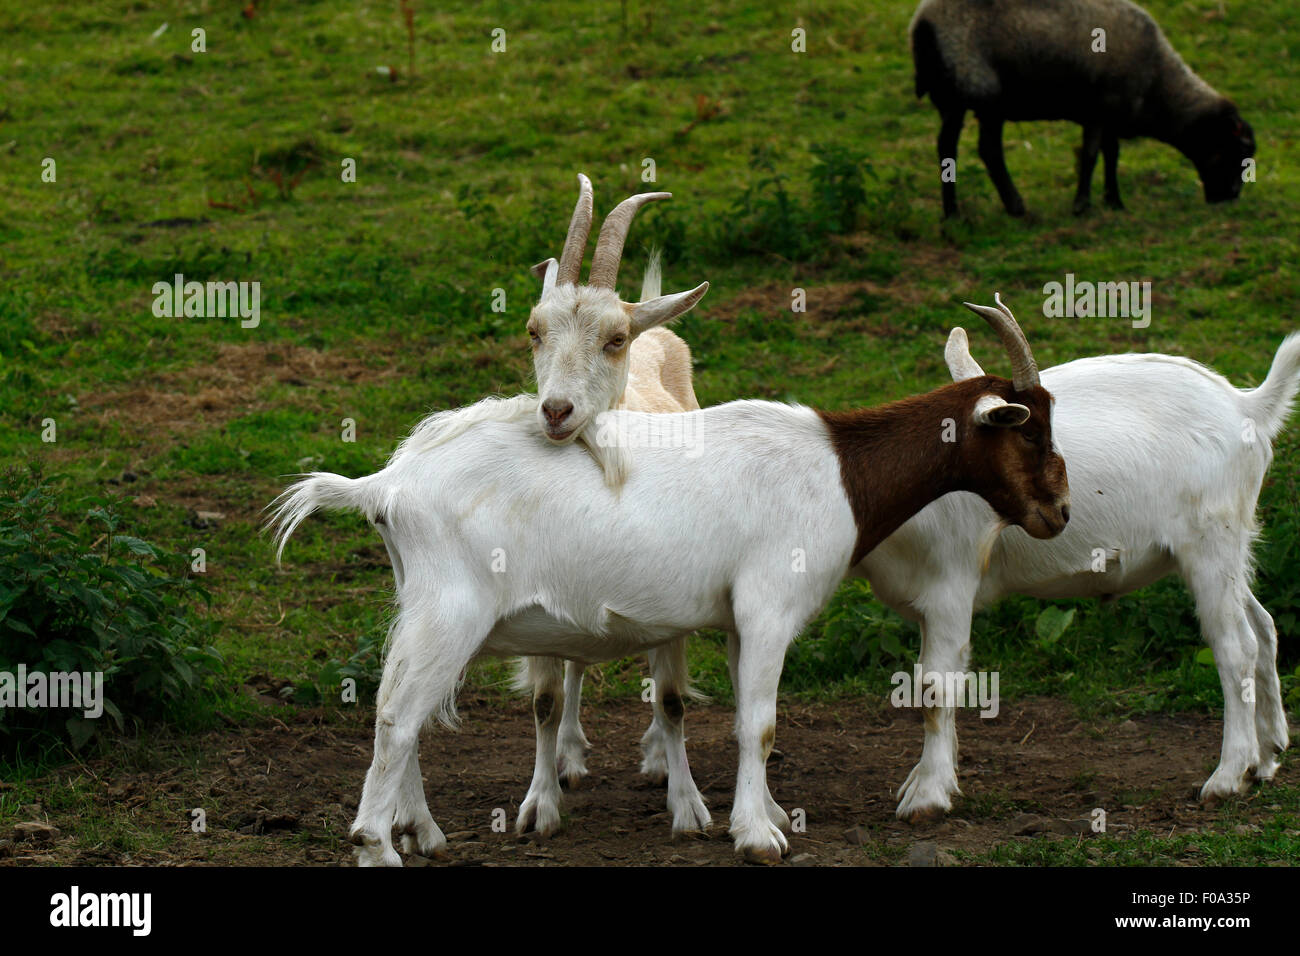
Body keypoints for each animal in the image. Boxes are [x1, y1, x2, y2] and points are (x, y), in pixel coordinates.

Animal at [269, 299, 1071, 868]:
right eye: (1030, 429)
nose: (1058, 511)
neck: (840, 470)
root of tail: (388, 485)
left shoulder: (739, 619)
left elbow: (741, 718)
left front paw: (762, 816)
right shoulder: (770, 606)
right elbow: (761, 723)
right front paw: (759, 838)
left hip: (420, 606)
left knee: (396, 710)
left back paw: (425, 833)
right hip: (449, 612)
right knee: (397, 718)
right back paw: (379, 846)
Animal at [873, 330, 1300, 822]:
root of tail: (1246, 405)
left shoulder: (950, 583)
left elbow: (933, 686)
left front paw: (926, 797)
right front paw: (929, 779)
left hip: (1210, 540)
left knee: (1237, 646)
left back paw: (1228, 777)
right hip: (1228, 551)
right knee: (1263, 626)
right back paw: (1266, 757)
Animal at [909, 0, 1253, 215]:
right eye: (1236, 150)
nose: (1231, 196)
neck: (1159, 83)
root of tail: (923, 23)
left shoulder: (1110, 112)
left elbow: (1111, 154)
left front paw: (1114, 201)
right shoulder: (1100, 108)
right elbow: (1090, 156)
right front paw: (1082, 205)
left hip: (952, 97)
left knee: (947, 148)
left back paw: (952, 214)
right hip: (980, 87)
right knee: (987, 150)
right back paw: (1014, 207)